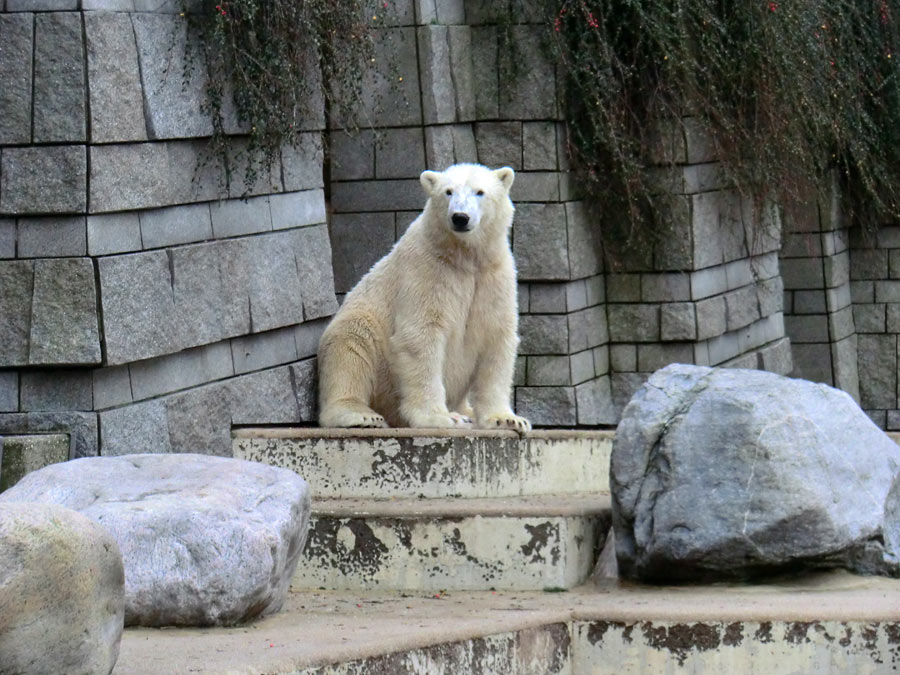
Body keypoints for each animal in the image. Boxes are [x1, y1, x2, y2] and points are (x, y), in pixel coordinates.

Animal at [316, 164, 532, 434]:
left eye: (480, 192)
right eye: (448, 192)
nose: (460, 217)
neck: (464, 256)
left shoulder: (494, 276)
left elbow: (496, 339)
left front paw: (507, 419)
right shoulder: (427, 270)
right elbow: (421, 336)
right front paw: (441, 418)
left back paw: (466, 412)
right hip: (366, 334)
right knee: (350, 348)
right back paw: (362, 415)